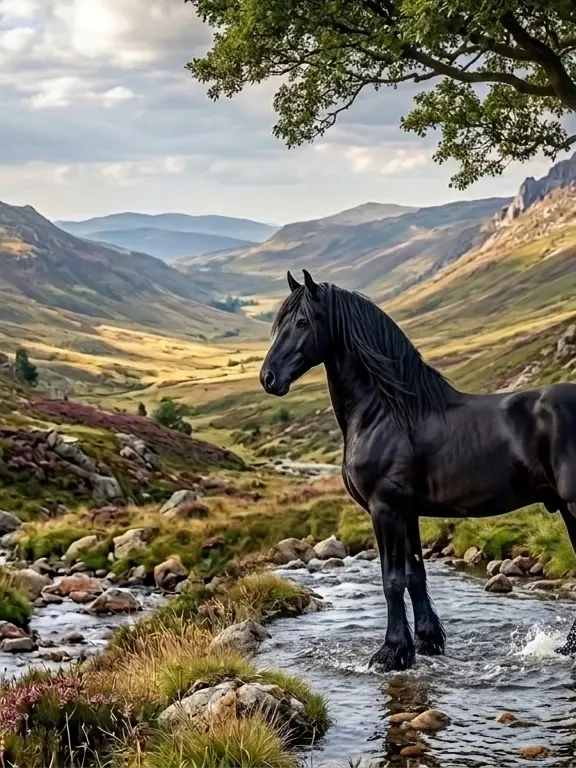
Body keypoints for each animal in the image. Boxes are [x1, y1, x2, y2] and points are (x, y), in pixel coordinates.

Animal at [259, 269, 576, 672]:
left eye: (301, 322)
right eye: (279, 324)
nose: (268, 378)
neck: (386, 412)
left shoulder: (386, 509)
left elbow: (392, 579)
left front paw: (391, 651)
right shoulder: (407, 512)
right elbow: (415, 576)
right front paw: (426, 642)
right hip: (566, 508)